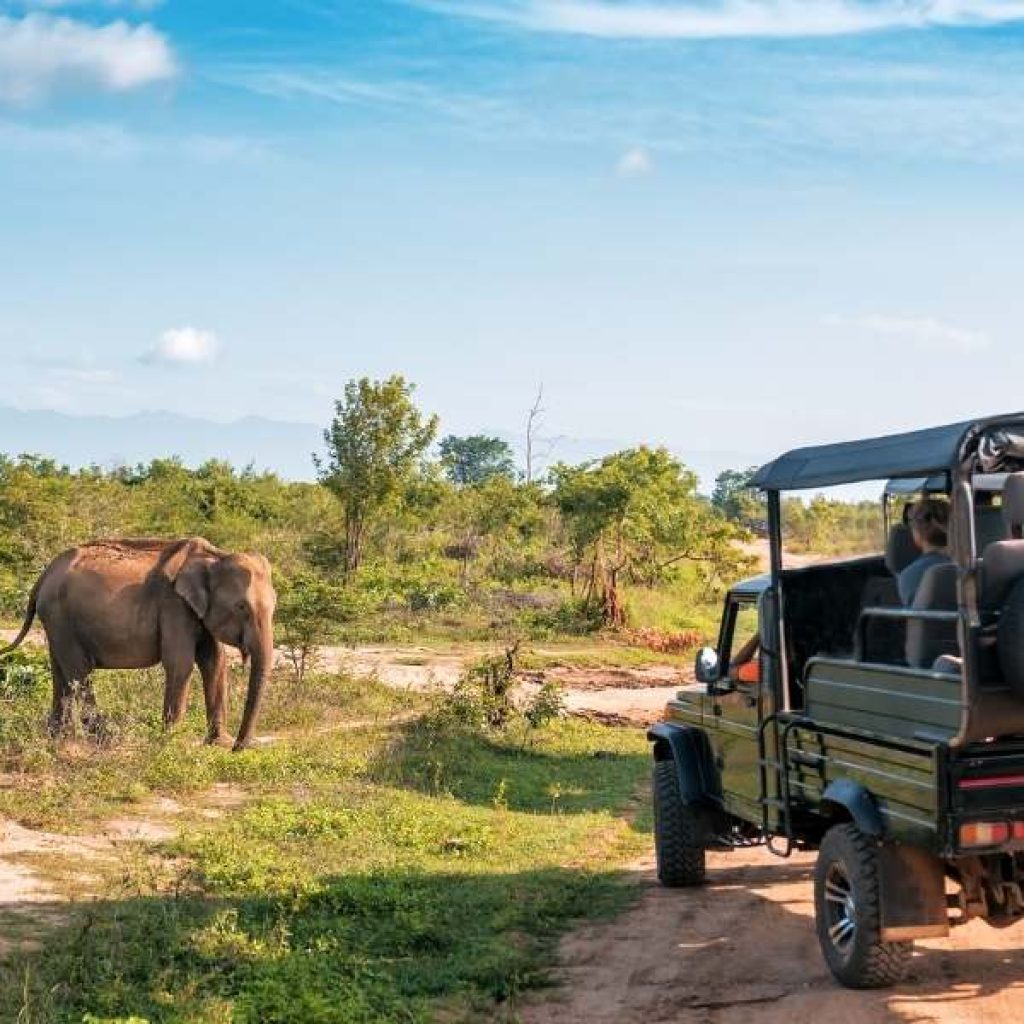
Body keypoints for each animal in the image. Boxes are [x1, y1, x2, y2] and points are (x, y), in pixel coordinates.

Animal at [0, 537, 277, 751]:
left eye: (275, 606)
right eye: (241, 607)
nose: (238, 747)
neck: (215, 556)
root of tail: (45, 574)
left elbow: (214, 663)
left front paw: (218, 742)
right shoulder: (173, 605)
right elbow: (181, 664)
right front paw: (171, 742)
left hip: (56, 621)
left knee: (61, 673)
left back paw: (58, 739)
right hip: (60, 617)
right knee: (79, 672)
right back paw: (105, 738)